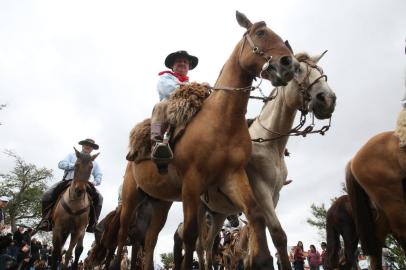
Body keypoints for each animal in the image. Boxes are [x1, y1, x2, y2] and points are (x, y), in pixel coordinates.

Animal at [111, 11, 298, 270]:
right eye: (261, 33)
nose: (289, 64)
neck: (222, 121)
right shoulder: (192, 183)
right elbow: (191, 235)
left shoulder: (233, 177)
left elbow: (255, 214)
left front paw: (262, 260)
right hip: (131, 197)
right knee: (122, 236)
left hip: (161, 203)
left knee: (150, 240)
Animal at [199, 51, 336, 270]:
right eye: (298, 70)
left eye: (320, 71)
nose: (328, 99)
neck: (269, 144)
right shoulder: (260, 191)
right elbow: (277, 234)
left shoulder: (273, 196)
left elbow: (269, 237)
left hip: (218, 214)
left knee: (208, 246)